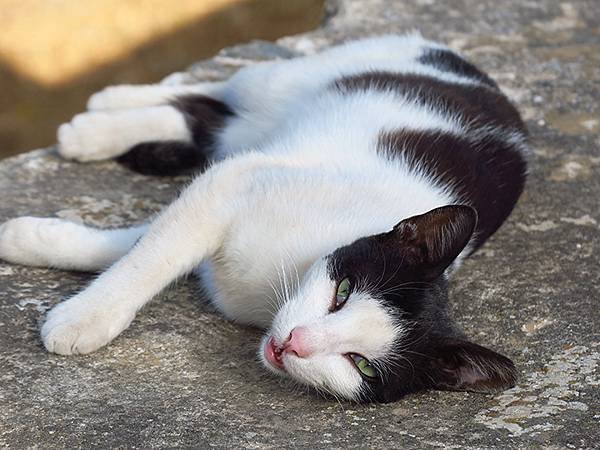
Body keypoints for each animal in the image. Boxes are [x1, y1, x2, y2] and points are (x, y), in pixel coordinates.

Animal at [0, 33, 524, 402]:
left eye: (361, 365)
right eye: (343, 292)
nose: (295, 343)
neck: (282, 284)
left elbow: (139, 243)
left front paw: (31, 241)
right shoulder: (232, 185)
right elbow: (149, 256)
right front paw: (84, 314)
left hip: (257, 129)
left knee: (211, 121)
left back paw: (102, 126)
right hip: (302, 77)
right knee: (227, 87)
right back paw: (105, 110)